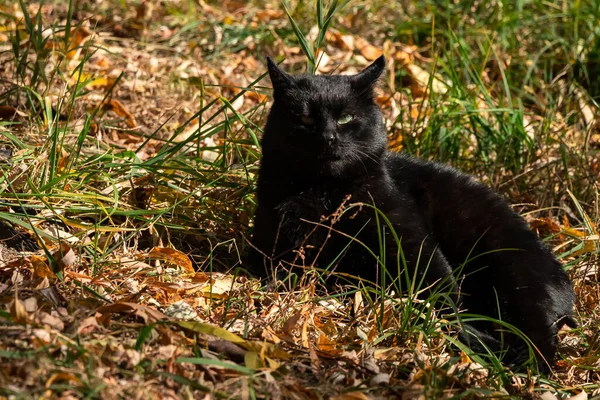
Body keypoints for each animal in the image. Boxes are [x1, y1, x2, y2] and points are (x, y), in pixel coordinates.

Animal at [248, 54, 576, 370]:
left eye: (345, 118)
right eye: (305, 118)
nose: (328, 137)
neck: (327, 194)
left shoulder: (411, 243)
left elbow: (441, 296)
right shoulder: (277, 252)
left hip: (511, 272)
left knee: (539, 341)